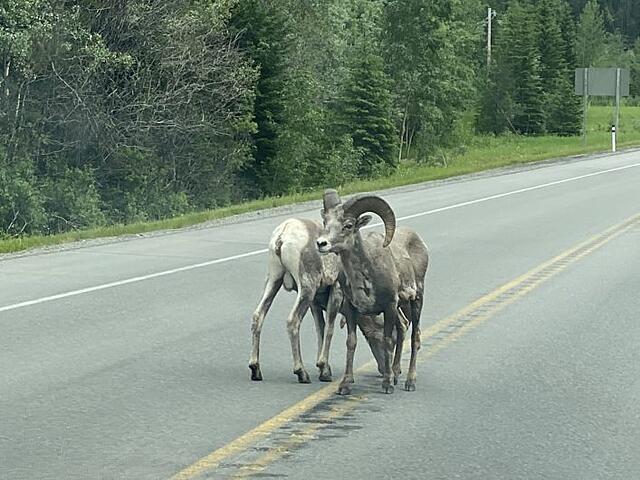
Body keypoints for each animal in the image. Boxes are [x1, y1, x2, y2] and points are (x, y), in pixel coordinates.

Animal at [250, 218, 390, 382]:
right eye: (380, 330)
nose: (384, 370)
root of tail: (283, 235)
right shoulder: (335, 293)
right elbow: (329, 329)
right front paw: (324, 371)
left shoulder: (315, 303)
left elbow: (320, 329)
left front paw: (324, 369)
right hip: (306, 288)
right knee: (293, 321)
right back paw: (301, 373)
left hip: (273, 280)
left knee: (258, 315)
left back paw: (255, 369)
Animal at [316, 189, 428, 396]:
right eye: (325, 222)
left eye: (348, 225)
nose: (321, 243)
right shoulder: (352, 309)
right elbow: (351, 342)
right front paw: (345, 385)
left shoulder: (389, 306)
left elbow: (387, 340)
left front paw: (387, 384)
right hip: (401, 306)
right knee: (403, 327)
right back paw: (396, 373)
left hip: (416, 300)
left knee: (414, 336)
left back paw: (409, 381)